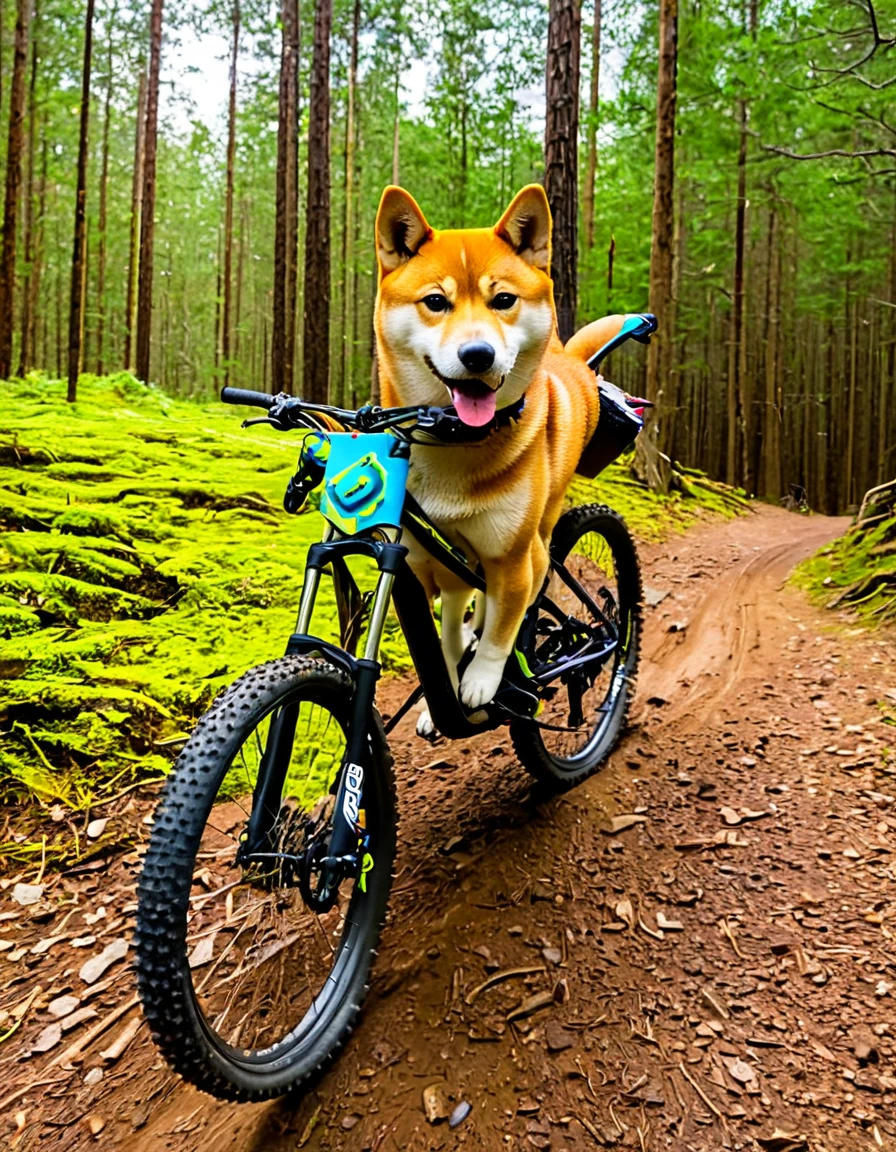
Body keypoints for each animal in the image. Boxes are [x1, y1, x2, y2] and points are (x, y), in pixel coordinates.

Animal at [373, 186, 626, 728]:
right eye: (436, 302)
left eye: (503, 300)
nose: (478, 355)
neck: (457, 446)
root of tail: (569, 358)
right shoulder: (425, 562)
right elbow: (446, 634)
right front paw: (446, 685)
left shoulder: (512, 558)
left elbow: (504, 627)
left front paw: (484, 679)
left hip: (540, 537)